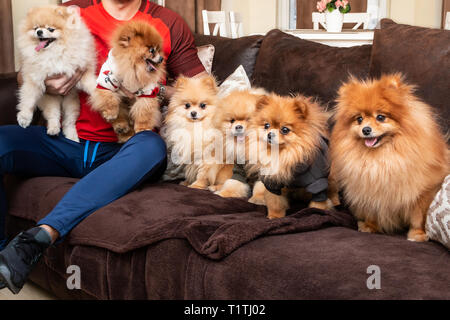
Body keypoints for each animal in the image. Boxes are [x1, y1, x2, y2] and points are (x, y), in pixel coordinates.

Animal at [16, 4, 96, 142]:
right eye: (36, 28)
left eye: (51, 29)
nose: (39, 32)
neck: (53, 52)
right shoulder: (34, 79)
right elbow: (28, 99)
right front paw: (24, 118)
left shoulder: (80, 71)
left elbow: (92, 84)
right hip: (50, 100)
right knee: (54, 116)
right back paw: (53, 130)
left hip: (71, 103)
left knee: (68, 122)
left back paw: (72, 137)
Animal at [328, 74, 448, 241]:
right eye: (359, 119)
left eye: (380, 117)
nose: (366, 129)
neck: (382, 157)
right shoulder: (368, 188)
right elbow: (372, 210)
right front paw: (370, 226)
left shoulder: (424, 191)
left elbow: (419, 216)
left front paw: (418, 234)